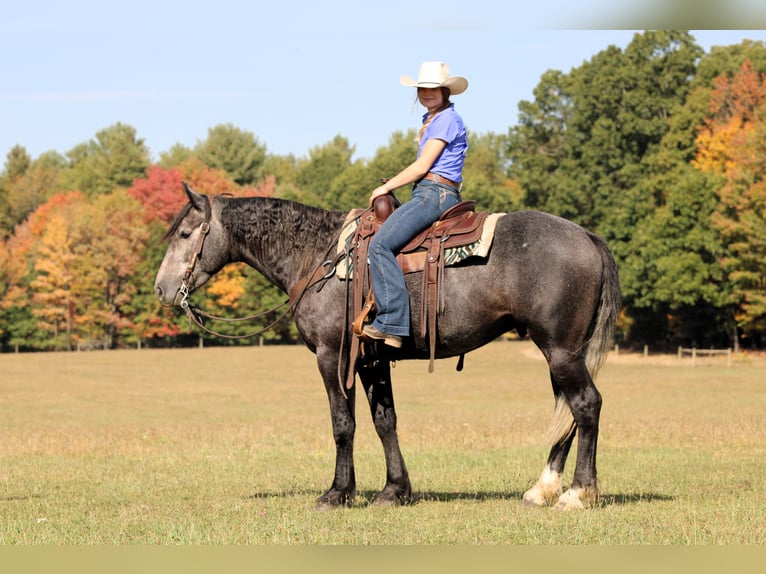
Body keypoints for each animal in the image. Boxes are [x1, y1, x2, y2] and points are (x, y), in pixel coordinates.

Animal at [154, 183, 621, 510]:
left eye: (185, 233)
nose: (161, 289)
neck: (317, 258)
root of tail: (587, 236)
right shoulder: (372, 361)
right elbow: (385, 422)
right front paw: (395, 490)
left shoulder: (333, 356)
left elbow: (343, 425)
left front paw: (338, 493)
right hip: (561, 352)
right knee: (567, 413)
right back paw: (542, 489)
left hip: (560, 351)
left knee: (585, 405)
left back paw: (577, 493)